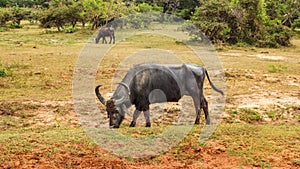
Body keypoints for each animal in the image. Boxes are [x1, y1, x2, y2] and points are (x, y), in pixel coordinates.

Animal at [95, 63, 224, 128]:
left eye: (116, 111)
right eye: (108, 112)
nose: (112, 126)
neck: (136, 81)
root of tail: (201, 68)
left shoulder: (143, 102)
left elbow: (139, 113)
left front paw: (138, 124)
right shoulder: (141, 102)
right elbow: (142, 113)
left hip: (195, 93)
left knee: (199, 105)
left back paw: (196, 122)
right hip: (199, 93)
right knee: (205, 103)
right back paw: (207, 122)